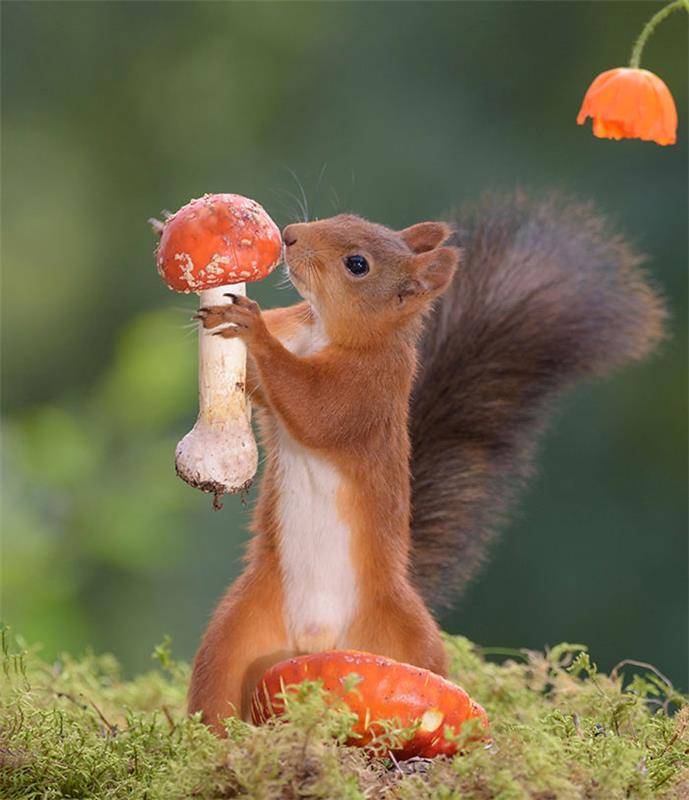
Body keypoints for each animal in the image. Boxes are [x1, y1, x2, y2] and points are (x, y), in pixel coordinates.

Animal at [185, 192, 664, 732]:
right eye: (346, 217)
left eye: (358, 264)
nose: (288, 235)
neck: (326, 332)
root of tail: (316, 639)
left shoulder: (369, 392)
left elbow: (314, 409)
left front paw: (252, 326)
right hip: (239, 635)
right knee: (218, 685)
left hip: (406, 639)